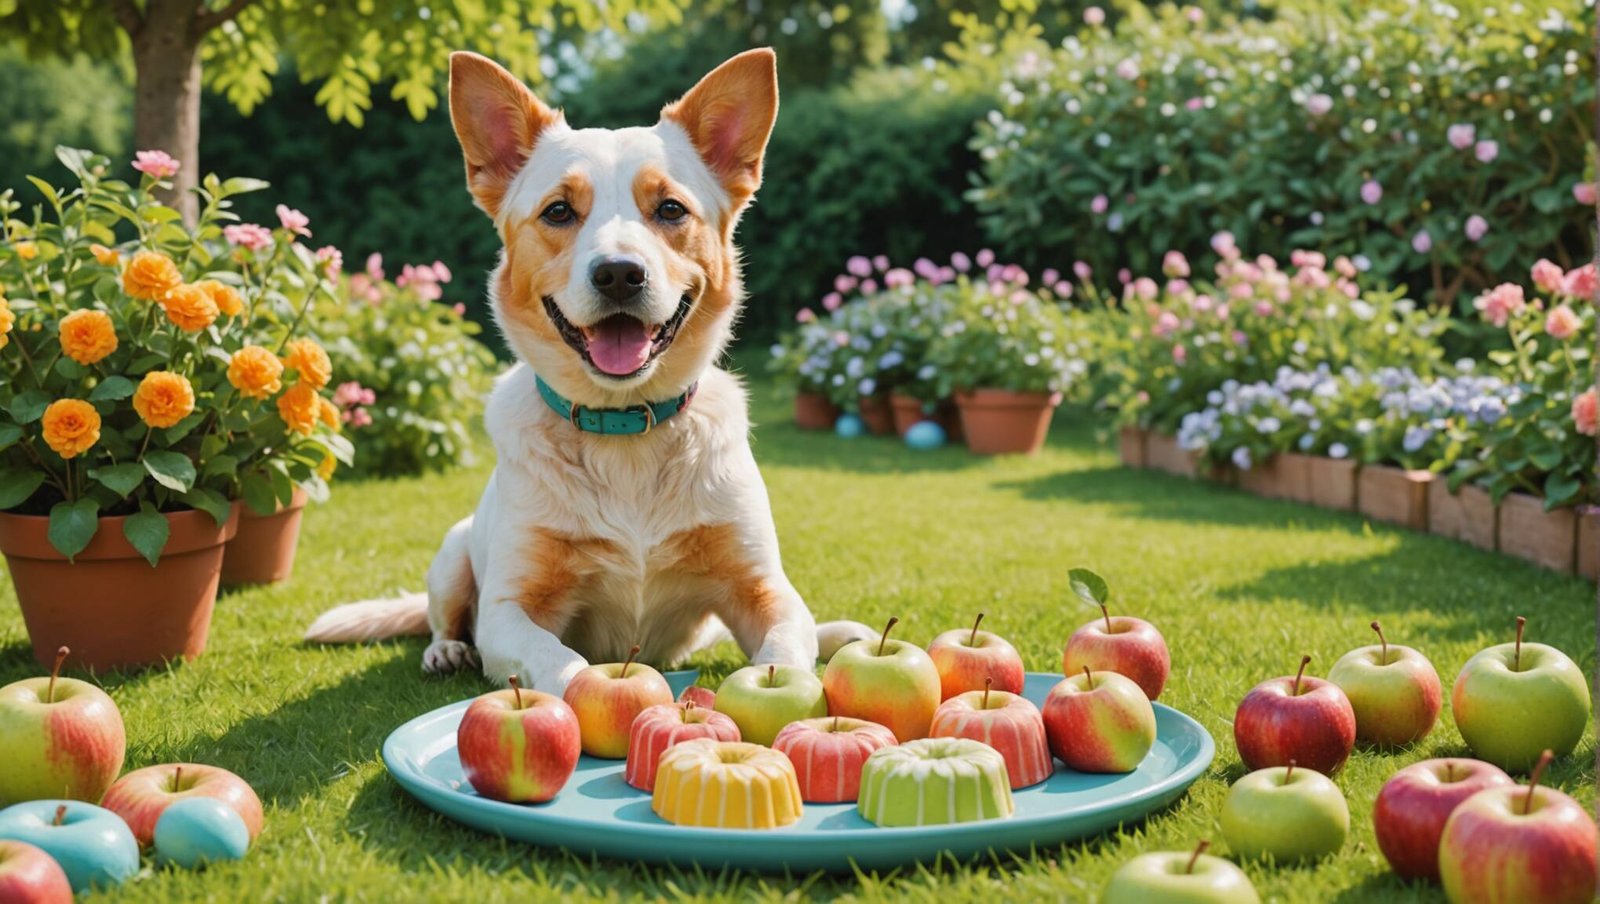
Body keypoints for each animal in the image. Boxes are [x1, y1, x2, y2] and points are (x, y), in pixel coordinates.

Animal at [302, 49, 876, 691]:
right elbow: (562, 662)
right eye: (558, 210)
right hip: (453, 553)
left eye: (670, 208)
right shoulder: (509, 610)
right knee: (443, 618)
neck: (624, 431)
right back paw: (446, 651)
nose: (620, 273)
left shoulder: (762, 587)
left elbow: (785, 646)